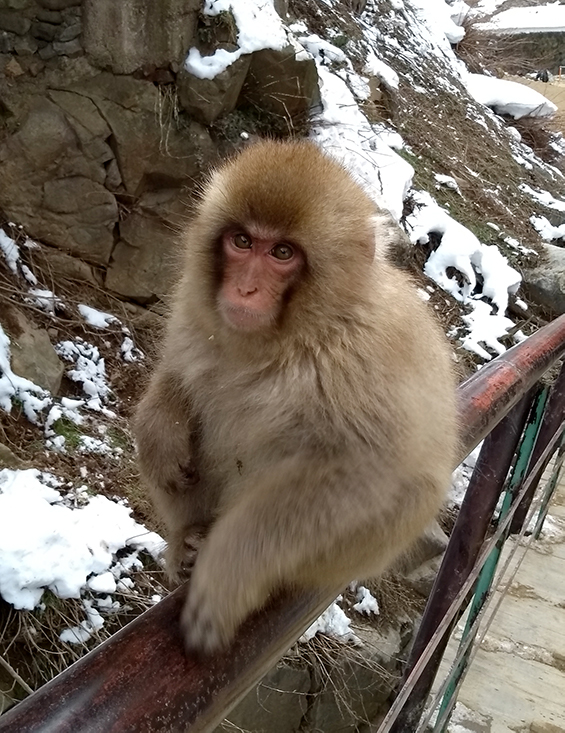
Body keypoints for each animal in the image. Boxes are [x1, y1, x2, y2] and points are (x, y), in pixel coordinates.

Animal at [133, 139, 458, 652]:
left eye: (282, 252)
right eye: (242, 242)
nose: (245, 288)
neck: (292, 335)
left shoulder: (362, 360)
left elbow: (360, 474)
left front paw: (228, 574)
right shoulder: (193, 304)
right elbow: (180, 373)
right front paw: (160, 434)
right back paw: (187, 537)